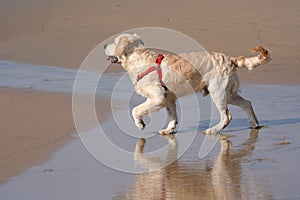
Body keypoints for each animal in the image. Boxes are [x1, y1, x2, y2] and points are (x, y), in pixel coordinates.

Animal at [105, 33, 272, 134]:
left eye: (114, 42)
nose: (104, 45)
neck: (139, 59)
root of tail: (230, 59)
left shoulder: (157, 98)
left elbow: (135, 110)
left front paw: (140, 124)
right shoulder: (168, 99)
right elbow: (172, 116)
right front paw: (169, 130)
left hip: (218, 92)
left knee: (226, 116)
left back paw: (213, 130)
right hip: (228, 93)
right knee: (247, 103)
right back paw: (254, 124)